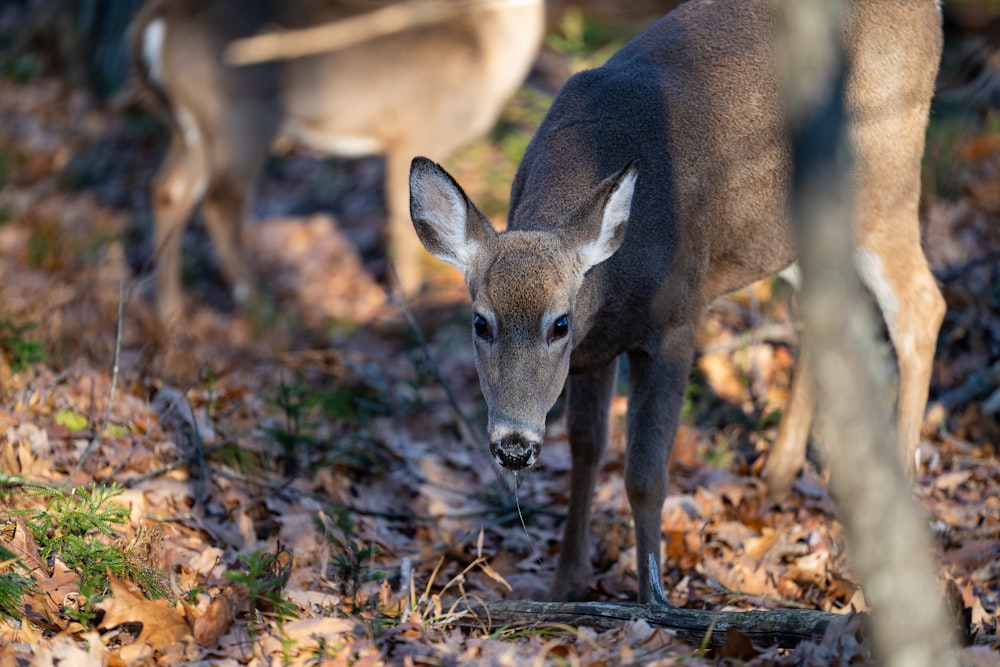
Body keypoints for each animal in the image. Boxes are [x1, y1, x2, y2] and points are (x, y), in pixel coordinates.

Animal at [130, 0, 548, 324]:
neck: (484, 55)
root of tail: (156, 21)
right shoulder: (409, 134)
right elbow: (402, 221)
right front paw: (408, 300)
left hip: (191, 128)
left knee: (167, 190)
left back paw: (170, 314)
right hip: (240, 115)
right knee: (221, 201)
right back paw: (259, 307)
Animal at [408, 0, 944, 604]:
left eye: (559, 323)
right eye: (481, 323)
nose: (514, 447)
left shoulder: (675, 321)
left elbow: (644, 475)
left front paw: (652, 599)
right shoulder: (597, 350)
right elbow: (587, 448)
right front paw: (566, 584)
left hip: (887, 181)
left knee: (921, 307)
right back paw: (779, 473)